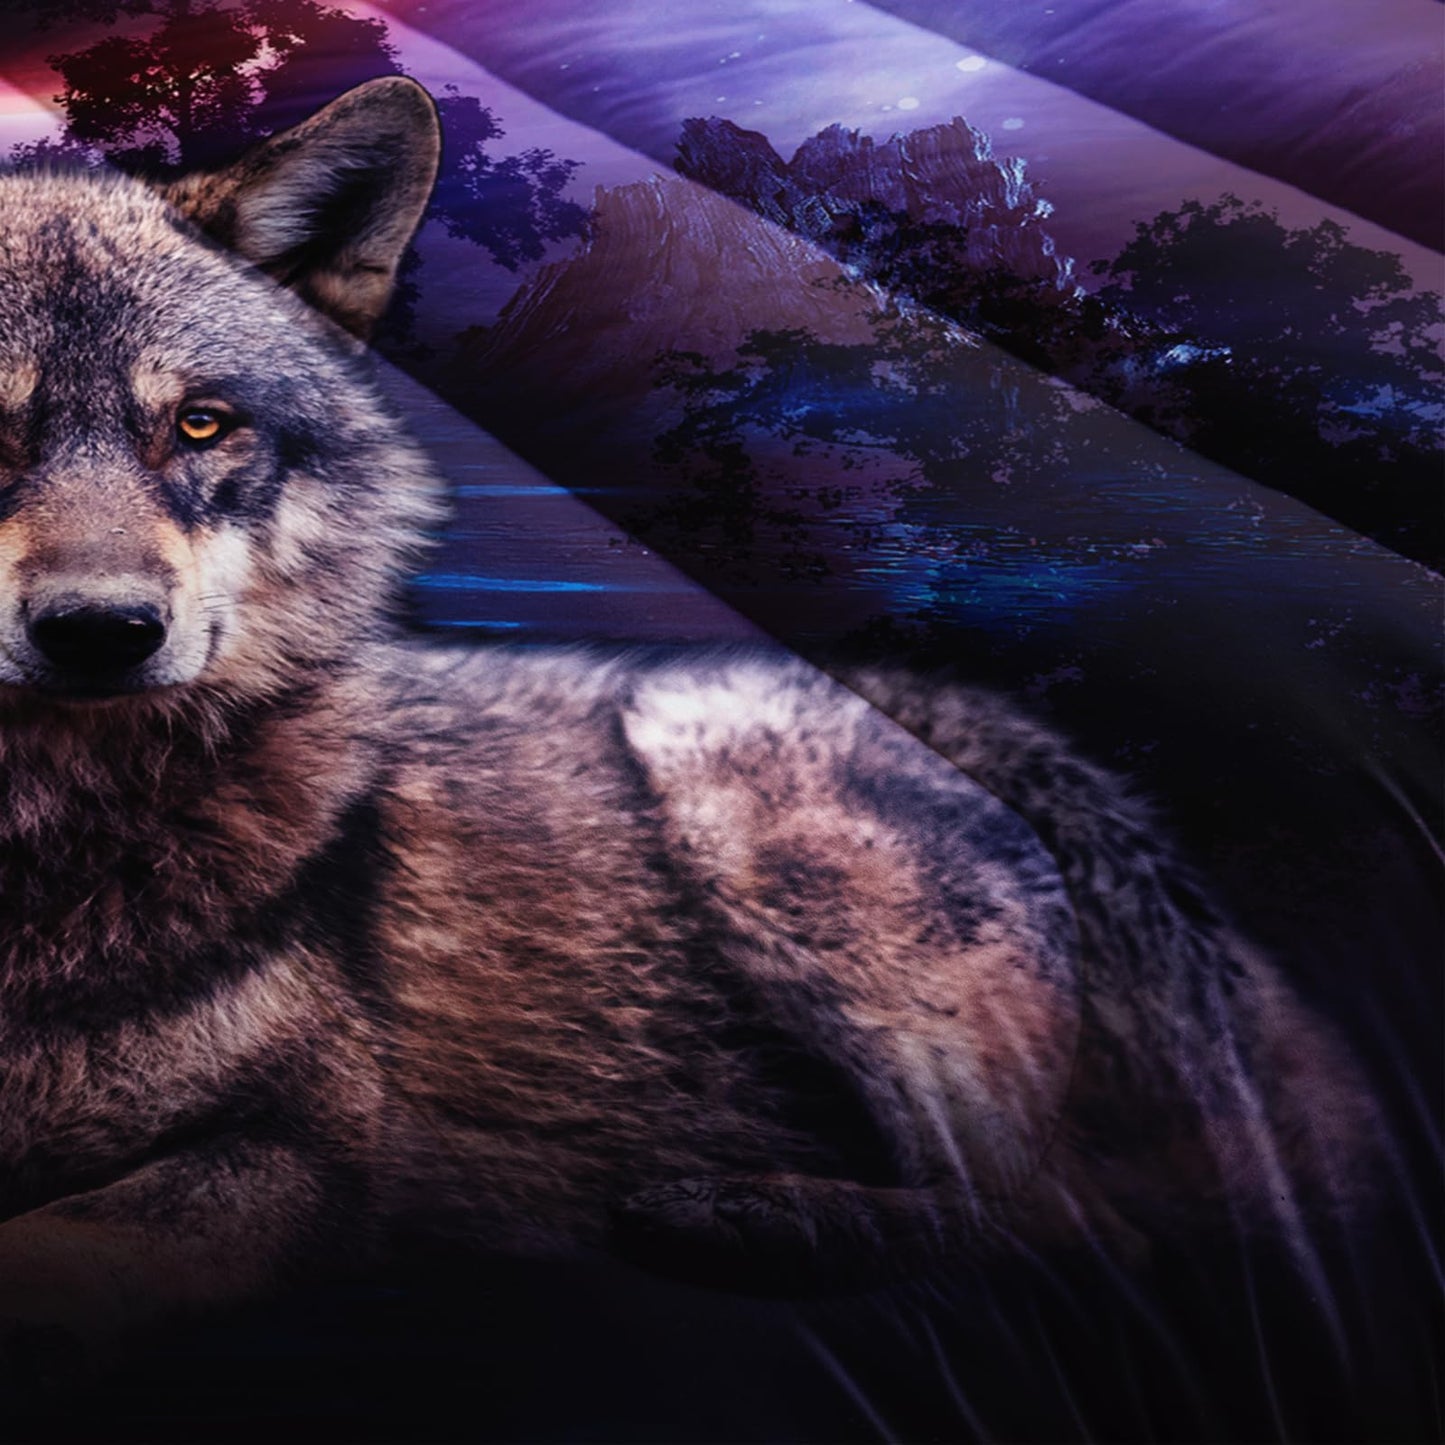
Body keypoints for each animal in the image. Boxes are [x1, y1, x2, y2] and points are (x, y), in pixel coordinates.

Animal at [0, 78, 1374, 1390]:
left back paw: (753, 1216)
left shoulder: (315, 1146)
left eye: (199, 424)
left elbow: (50, 1260)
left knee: (1084, 1223)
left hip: (716, 771)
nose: (101, 629)